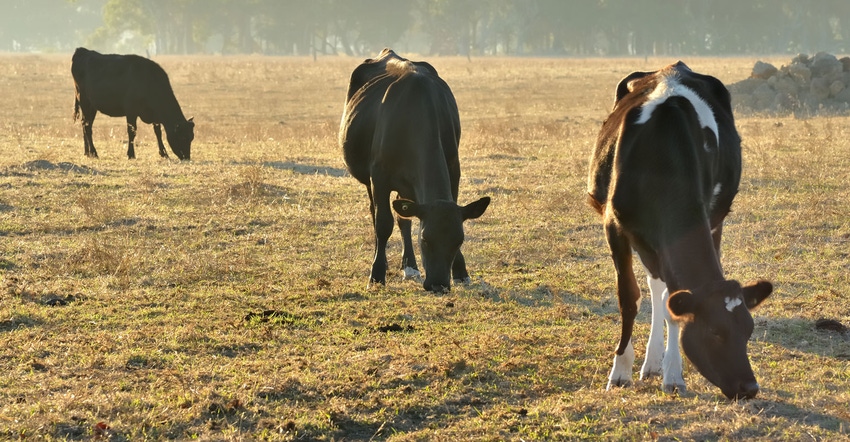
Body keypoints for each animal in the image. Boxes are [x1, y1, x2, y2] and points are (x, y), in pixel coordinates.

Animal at [334, 48, 486, 292]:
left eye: (459, 241)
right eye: (425, 239)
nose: (438, 284)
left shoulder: (454, 169)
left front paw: (461, 271)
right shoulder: (379, 176)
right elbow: (383, 223)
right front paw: (376, 274)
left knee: (403, 217)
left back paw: (410, 266)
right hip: (369, 179)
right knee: (376, 213)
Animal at [588, 62, 772, 400]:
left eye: (749, 329)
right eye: (715, 332)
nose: (750, 387)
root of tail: (672, 67)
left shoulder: (705, 219)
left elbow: (673, 303)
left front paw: (673, 374)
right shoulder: (615, 226)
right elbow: (628, 297)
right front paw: (620, 371)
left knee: (662, 289)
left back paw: (655, 362)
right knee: (655, 285)